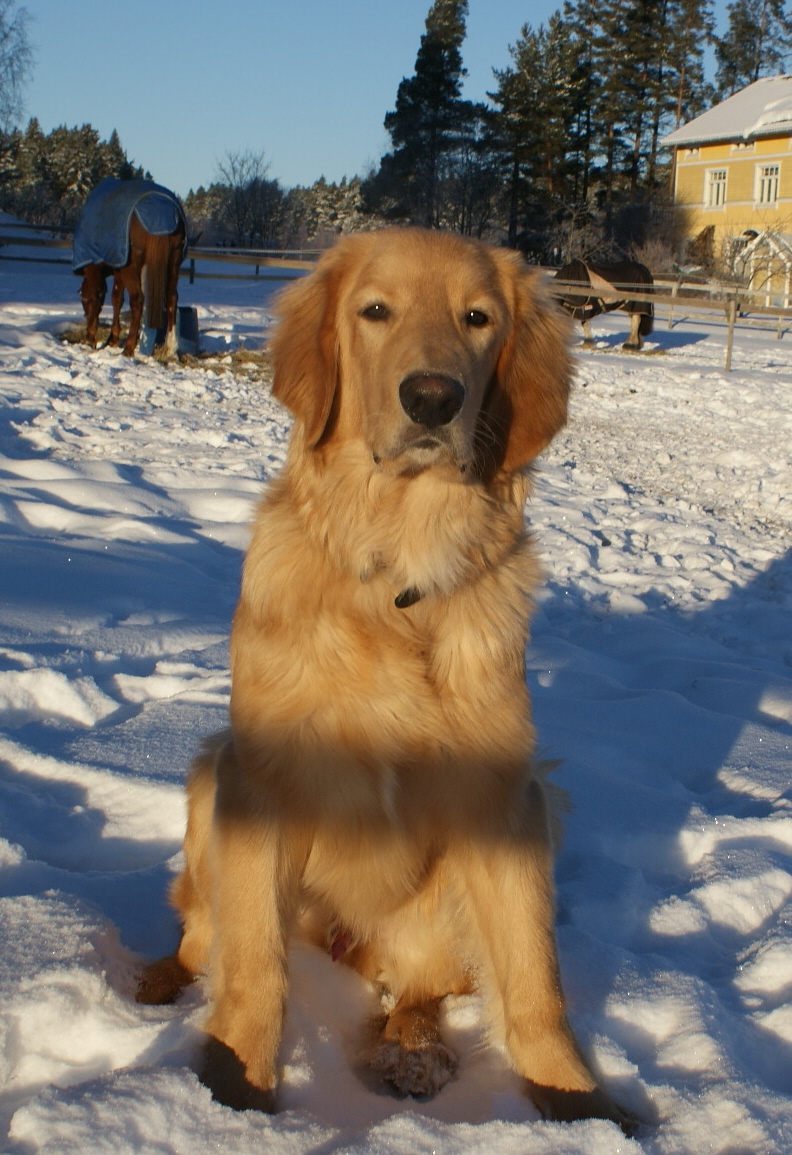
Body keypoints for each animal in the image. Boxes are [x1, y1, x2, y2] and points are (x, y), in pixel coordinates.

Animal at [73, 175, 188, 353]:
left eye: (83, 301)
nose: (88, 337)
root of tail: (161, 211)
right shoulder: (118, 267)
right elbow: (117, 299)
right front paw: (112, 338)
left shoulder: (105, 268)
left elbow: (103, 296)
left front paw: (96, 337)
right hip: (173, 264)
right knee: (172, 299)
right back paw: (170, 347)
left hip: (133, 268)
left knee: (138, 300)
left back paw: (129, 346)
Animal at [135, 225, 632, 1127]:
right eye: (375, 311)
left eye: (478, 318)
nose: (433, 398)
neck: (398, 569)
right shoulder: (262, 782)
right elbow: (254, 968)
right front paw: (232, 1093)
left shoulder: (506, 797)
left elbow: (536, 983)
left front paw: (576, 1104)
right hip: (210, 771)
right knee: (200, 932)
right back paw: (160, 977)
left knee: (425, 986)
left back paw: (413, 1048)